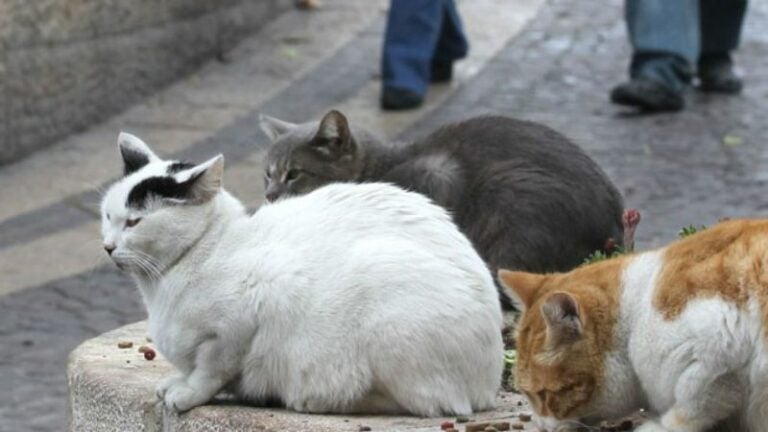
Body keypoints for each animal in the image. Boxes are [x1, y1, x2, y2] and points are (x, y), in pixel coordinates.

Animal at [99, 132, 504, 416]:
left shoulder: (249, 314)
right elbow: (193, 369)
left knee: (428, 403)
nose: (107, 246)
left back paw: (322, 400)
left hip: (387, 302)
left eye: (134, 222)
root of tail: (489, 384)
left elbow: (209, 371)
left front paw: (187, 394)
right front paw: (176, 382)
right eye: (108, 215)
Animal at [260, 110, 628, 308]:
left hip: (512, 190)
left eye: (294, 173)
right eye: (267, 172)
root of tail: (615, 235)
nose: (269, 194)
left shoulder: (437, 176)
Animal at [498, 219, 768, 432]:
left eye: (543, 394)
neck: (636, 316)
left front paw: (660, 426)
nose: (542, 427)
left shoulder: (719, 344)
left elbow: (693, 399)